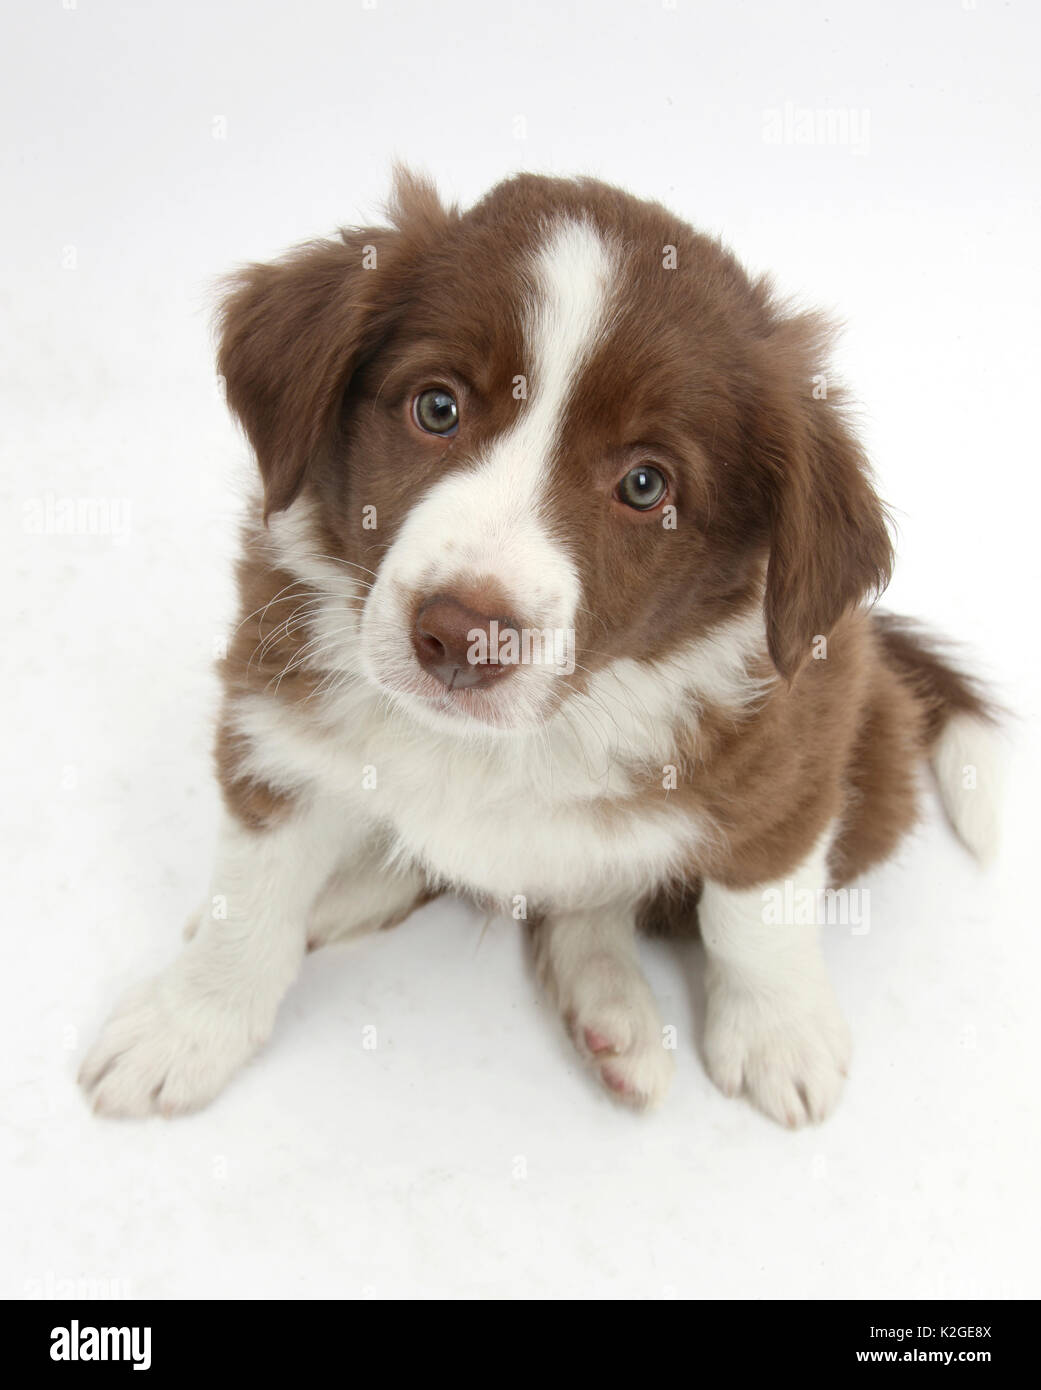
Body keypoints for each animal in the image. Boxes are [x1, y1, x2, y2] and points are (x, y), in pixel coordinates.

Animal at [81, 170, 1000, 1128]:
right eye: (436, 407)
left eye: (645, 485)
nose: (461, 636)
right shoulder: (274, 709)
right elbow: (250, 894)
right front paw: (187, 1026)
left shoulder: (792, 755)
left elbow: (756, 910)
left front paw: (779, 1034)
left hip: (878, 757)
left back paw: (608, 1007)